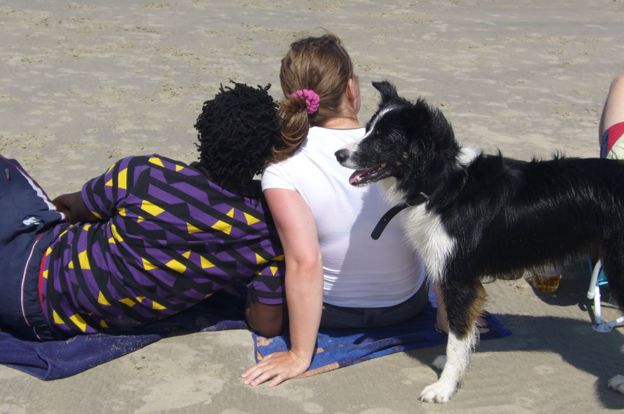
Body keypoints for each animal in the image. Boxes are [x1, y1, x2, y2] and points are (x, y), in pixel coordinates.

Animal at [336, 80, 624, 402]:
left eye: (385, 139)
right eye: (367, 129)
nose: (338, 154)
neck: (441, 184)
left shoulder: (459, 280)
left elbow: (456, 339)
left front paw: (444, 387)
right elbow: (458, 336)